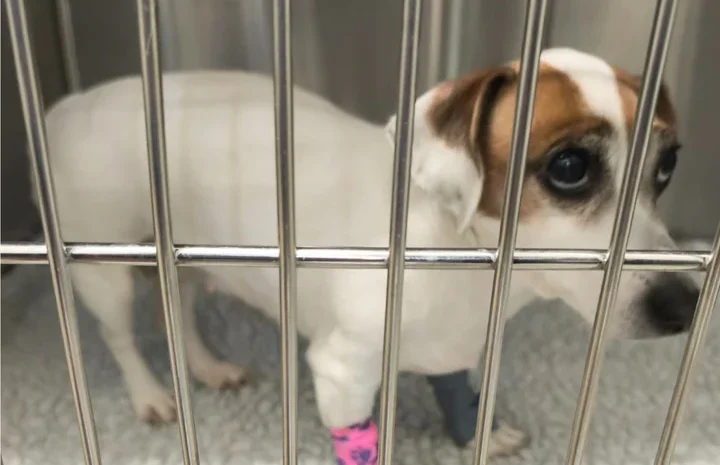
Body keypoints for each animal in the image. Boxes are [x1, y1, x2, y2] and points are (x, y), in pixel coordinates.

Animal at [35, 47, 699, 461]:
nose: (685, 305)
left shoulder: (450, 350)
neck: (460, 254)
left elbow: (458, 395)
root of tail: (62, 108)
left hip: (191, 259)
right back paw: (149, 394)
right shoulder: (342, 376)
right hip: (103, 273)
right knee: (120, 336)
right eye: (568, 167)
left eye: (669, 165)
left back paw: (205, 366)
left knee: (180, 312)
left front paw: (476, 437)